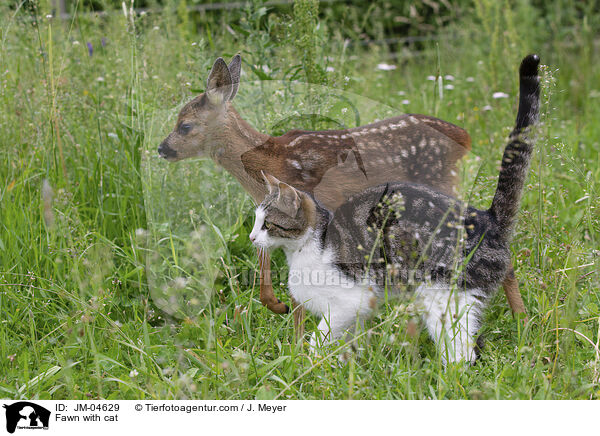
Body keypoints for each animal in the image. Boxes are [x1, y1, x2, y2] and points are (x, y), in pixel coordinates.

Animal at [248, 55, 540, 364]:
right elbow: (347, 343)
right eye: (255, 221)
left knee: (462, 354)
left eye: (268, 224)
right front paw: (343, 366)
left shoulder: (349, 302)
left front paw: (310, 363)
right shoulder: (357, 313)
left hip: (443, 299)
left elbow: (320, 337)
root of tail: (487, 219)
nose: (252, 238)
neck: (304, 250)